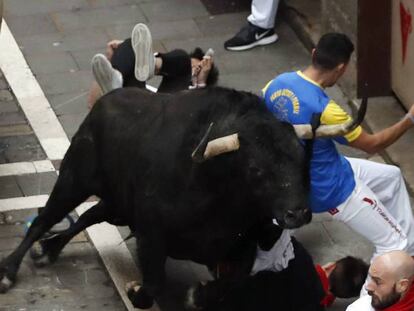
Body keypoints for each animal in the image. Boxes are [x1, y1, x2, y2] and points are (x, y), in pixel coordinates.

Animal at [0, 86, 312, 308]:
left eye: (303, 160)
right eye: (256, 169)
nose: (298, 213)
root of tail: (103, 101)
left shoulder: (241, 244)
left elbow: (232, 282)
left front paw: (197, 295)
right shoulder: (151, 234)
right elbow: (154, 285)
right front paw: (135, 289)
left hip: (117, 204)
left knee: (87, 216)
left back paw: (49, 247)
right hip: (74, 178)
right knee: (43, 218)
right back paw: (10, 270)